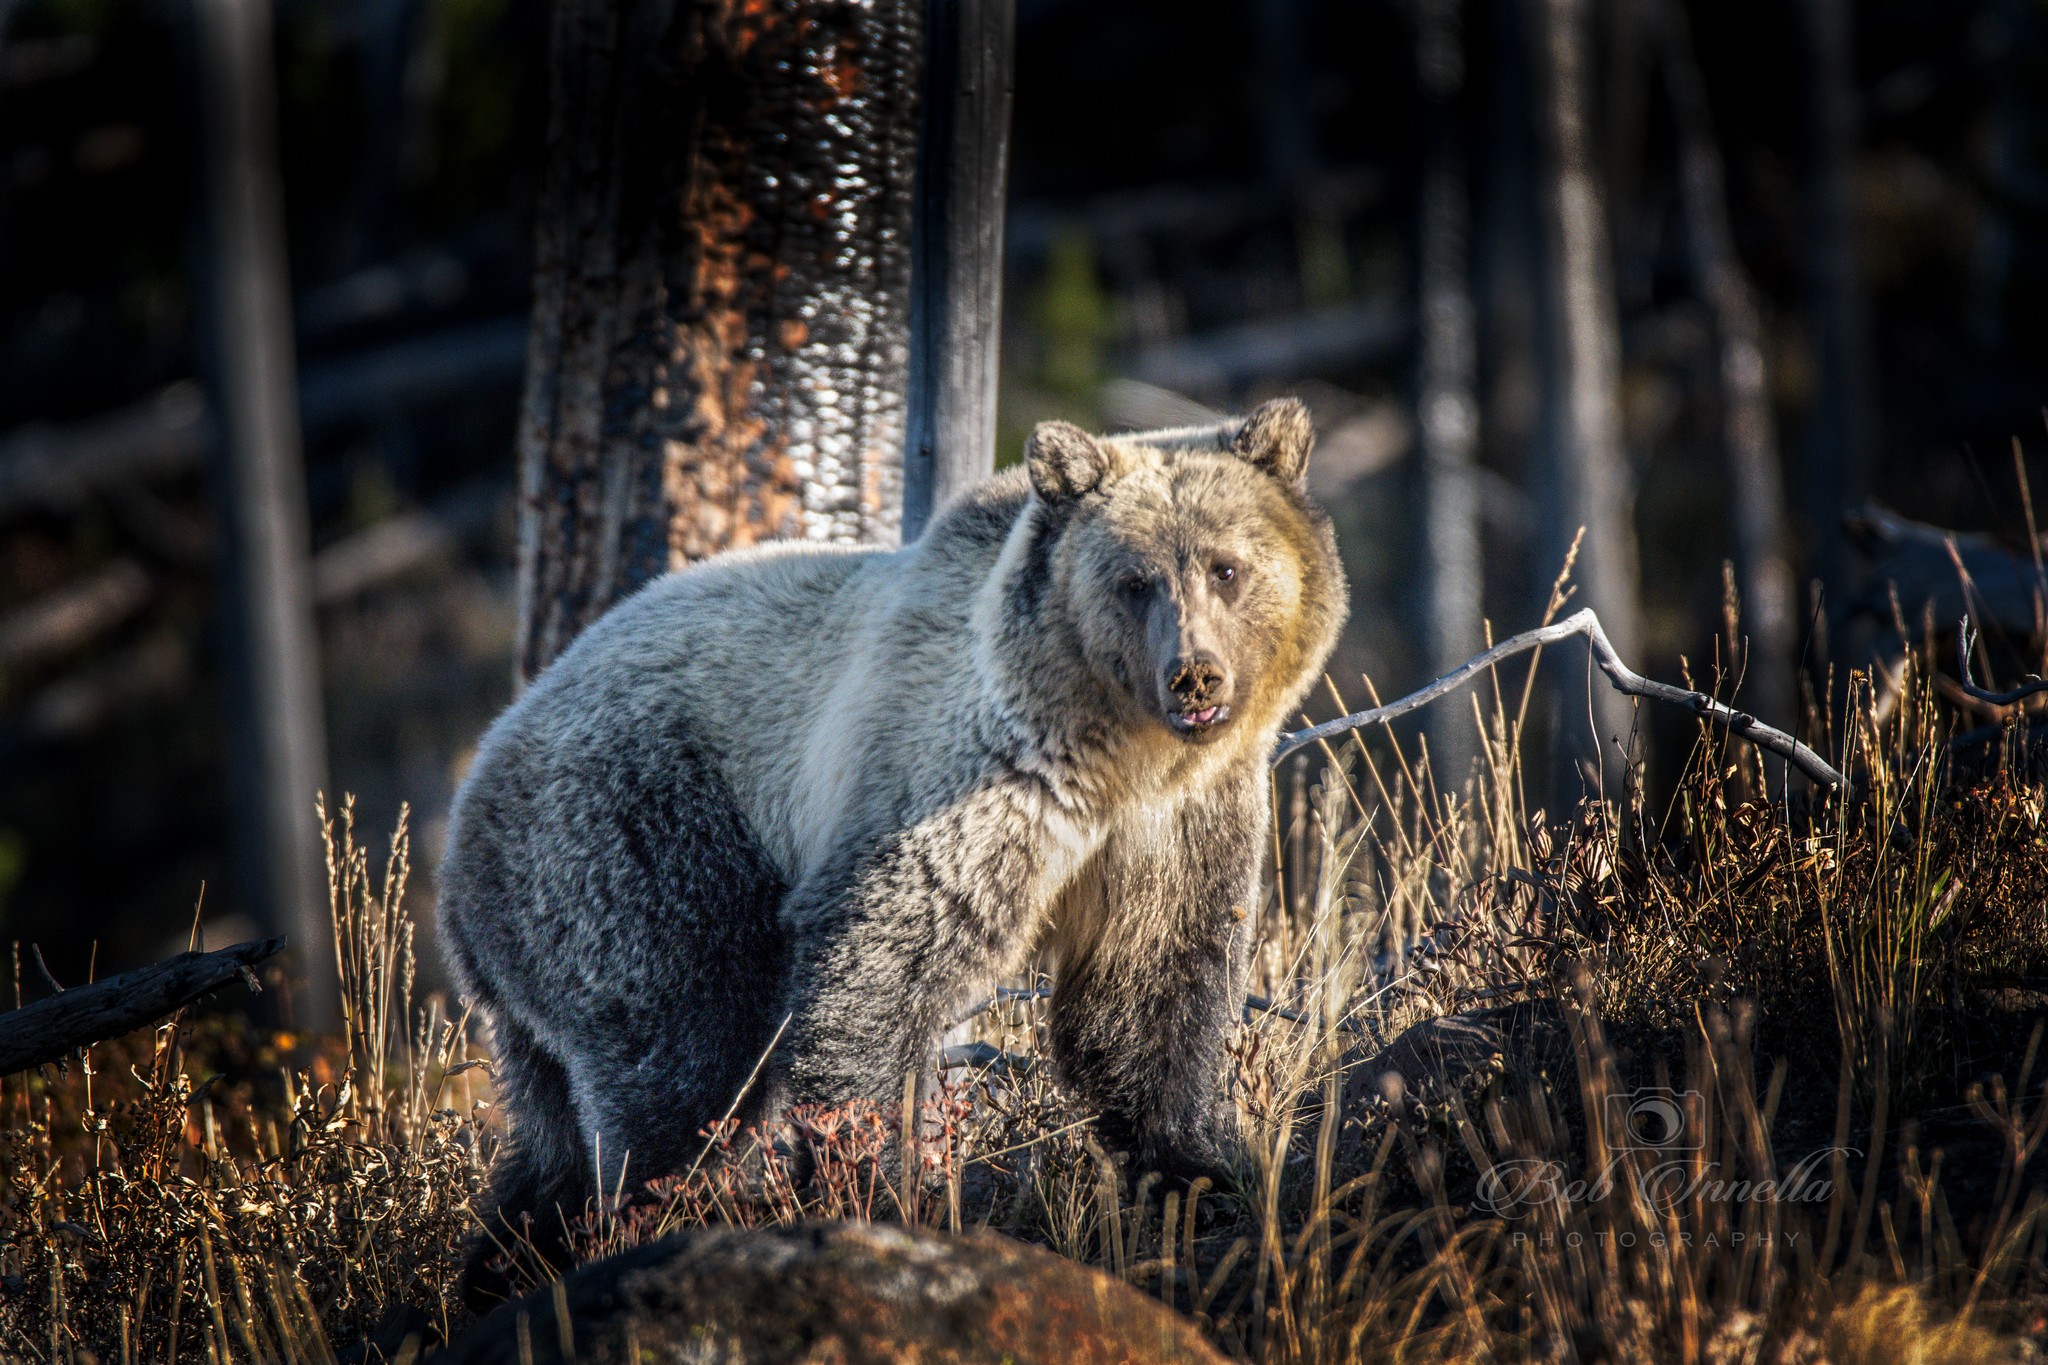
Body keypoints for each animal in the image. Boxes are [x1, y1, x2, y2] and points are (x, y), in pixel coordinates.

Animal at [436, 397, 1343, 1268]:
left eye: (1227, 567)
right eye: (1134, 580)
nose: (1195, 674)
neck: (1116, 750)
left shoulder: (1178, 820)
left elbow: (1149, 991)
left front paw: (1203, 1172)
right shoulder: (968, 776)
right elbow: (880, 967)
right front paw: (885, 1181)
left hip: (545, 962)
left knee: (550, 1146)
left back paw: (505, 1258)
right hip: (641, 843)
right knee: (683, 1066)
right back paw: (667, 1214)